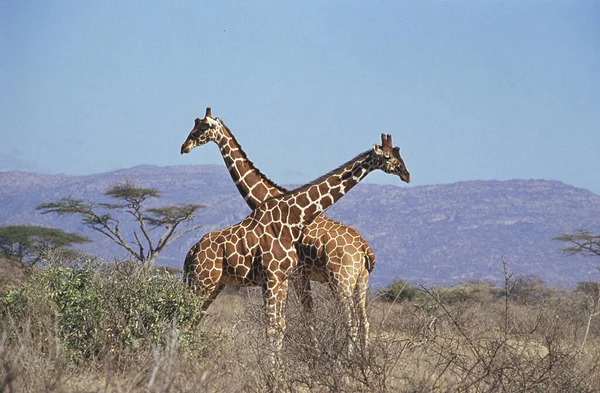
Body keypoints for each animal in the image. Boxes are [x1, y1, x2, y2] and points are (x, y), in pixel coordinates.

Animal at [182, 124, 408, 356]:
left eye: (199, 129)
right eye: (390, 157)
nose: (406, 174)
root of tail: (364, 246)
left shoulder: (293, 277)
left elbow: (297, 321)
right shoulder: (292, 277)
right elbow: (302, 321)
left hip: (344, 281)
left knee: (354, 323)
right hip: (356, 282)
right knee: (362, 323)